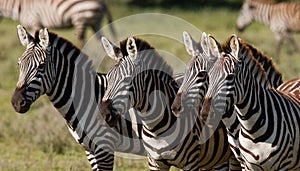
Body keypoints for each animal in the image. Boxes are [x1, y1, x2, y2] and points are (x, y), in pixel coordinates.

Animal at [99, 35, 241, 170]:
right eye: (108, 77)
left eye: (127, 80)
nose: (104, 112)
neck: (155, 128)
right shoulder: (155, 162)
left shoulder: (191, 162)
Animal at [200, 34, 300, 170]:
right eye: (209, 76)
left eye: (230, 77)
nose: (205, 114)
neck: (251, 128)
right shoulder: (246, 164)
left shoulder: (282, 165)